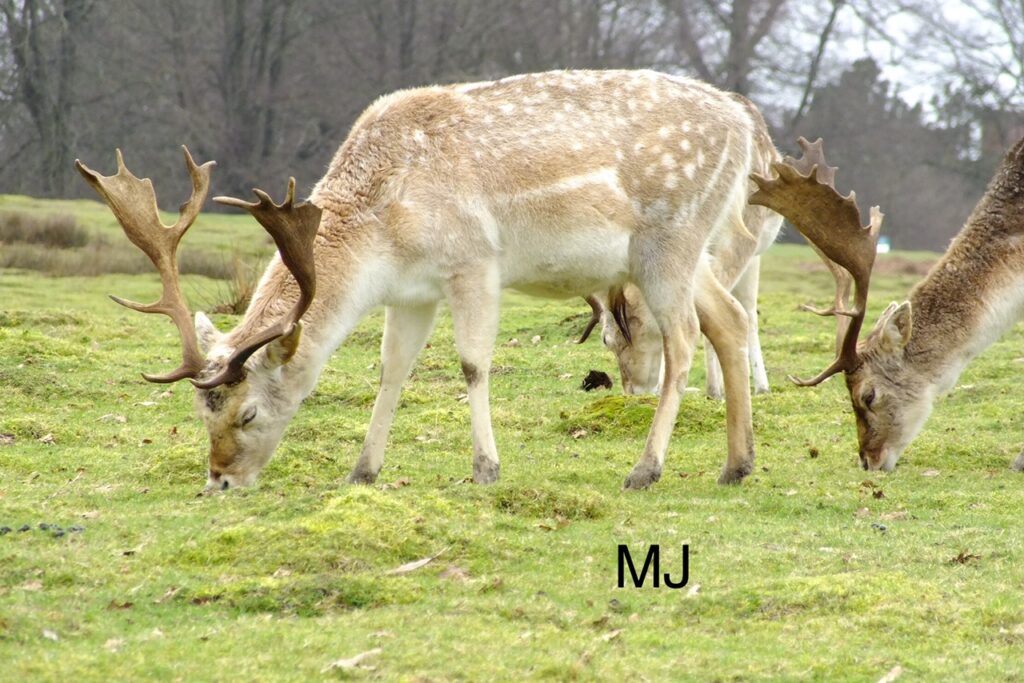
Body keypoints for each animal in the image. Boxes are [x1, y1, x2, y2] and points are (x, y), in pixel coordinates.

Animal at [77, 69, 776, 491]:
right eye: (201, 412)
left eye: (247, 413)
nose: (219, 479)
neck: (384, 232)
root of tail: (747, 128)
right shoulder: (411, 292)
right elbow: (392, 370)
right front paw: (363, 471)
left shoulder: (473, 262)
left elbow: (472, 364)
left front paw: (487, 467)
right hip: (688, 253)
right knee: (731, 319)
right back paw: (737, 465)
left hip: (669, 241)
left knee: (684, 339)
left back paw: (645, 469)